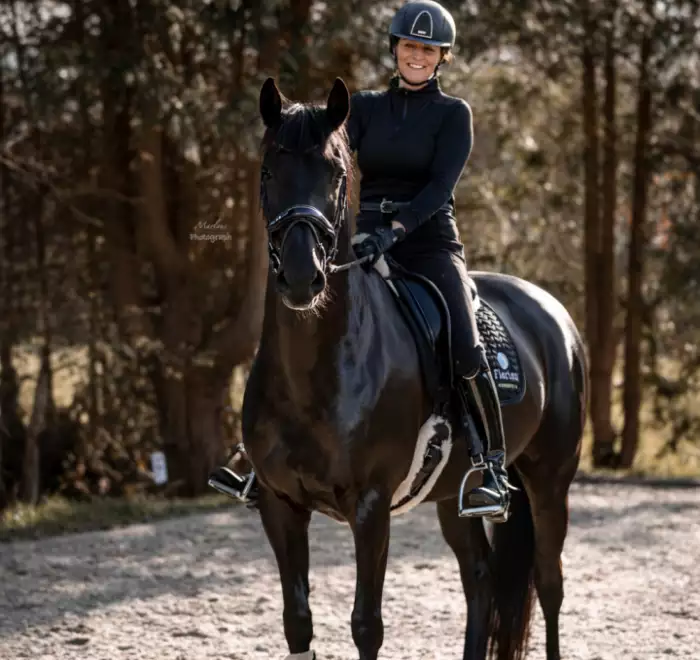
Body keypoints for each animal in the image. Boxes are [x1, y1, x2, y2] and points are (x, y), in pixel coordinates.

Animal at [239, 76, 588, 660]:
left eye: (337, 174)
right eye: (268, 171)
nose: (302, 277)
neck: (314, 375)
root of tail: (554, 313)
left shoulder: (370, 507)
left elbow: (366, 625)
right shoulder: (279, 504)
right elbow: (297, 622)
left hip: (549, 481)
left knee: (550, 583)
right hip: (455, 497)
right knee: (482, 581)